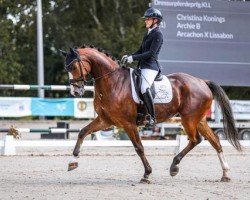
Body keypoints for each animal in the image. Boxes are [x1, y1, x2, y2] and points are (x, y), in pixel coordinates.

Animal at [59, 46, 241, 183]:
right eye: (66, 68)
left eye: (73, 67)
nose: (76, 91)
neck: (113, 82)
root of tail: (203, 82)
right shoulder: (105, 120)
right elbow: (82, 132)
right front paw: (72, 163)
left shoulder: (128, 124)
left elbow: (139, 148)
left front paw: (147, 174)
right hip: (199, 120)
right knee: (215, 141)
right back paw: (225, 173)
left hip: (188, 119)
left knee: (196, 139)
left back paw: (174, 166)